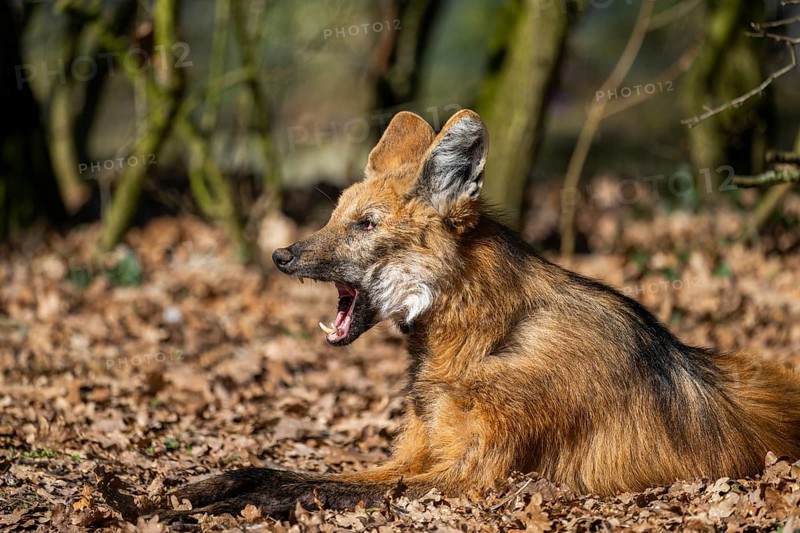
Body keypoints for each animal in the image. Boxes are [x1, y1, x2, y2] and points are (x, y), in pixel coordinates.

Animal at [158, 109, 800, 520]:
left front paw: (204, 510)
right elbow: (277, 471)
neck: (481, 341)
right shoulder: (422, 454)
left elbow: (306, 488)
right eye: (335, 216)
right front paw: (193, 490)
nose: (281, 255)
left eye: (365, 224)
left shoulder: (471, 478)